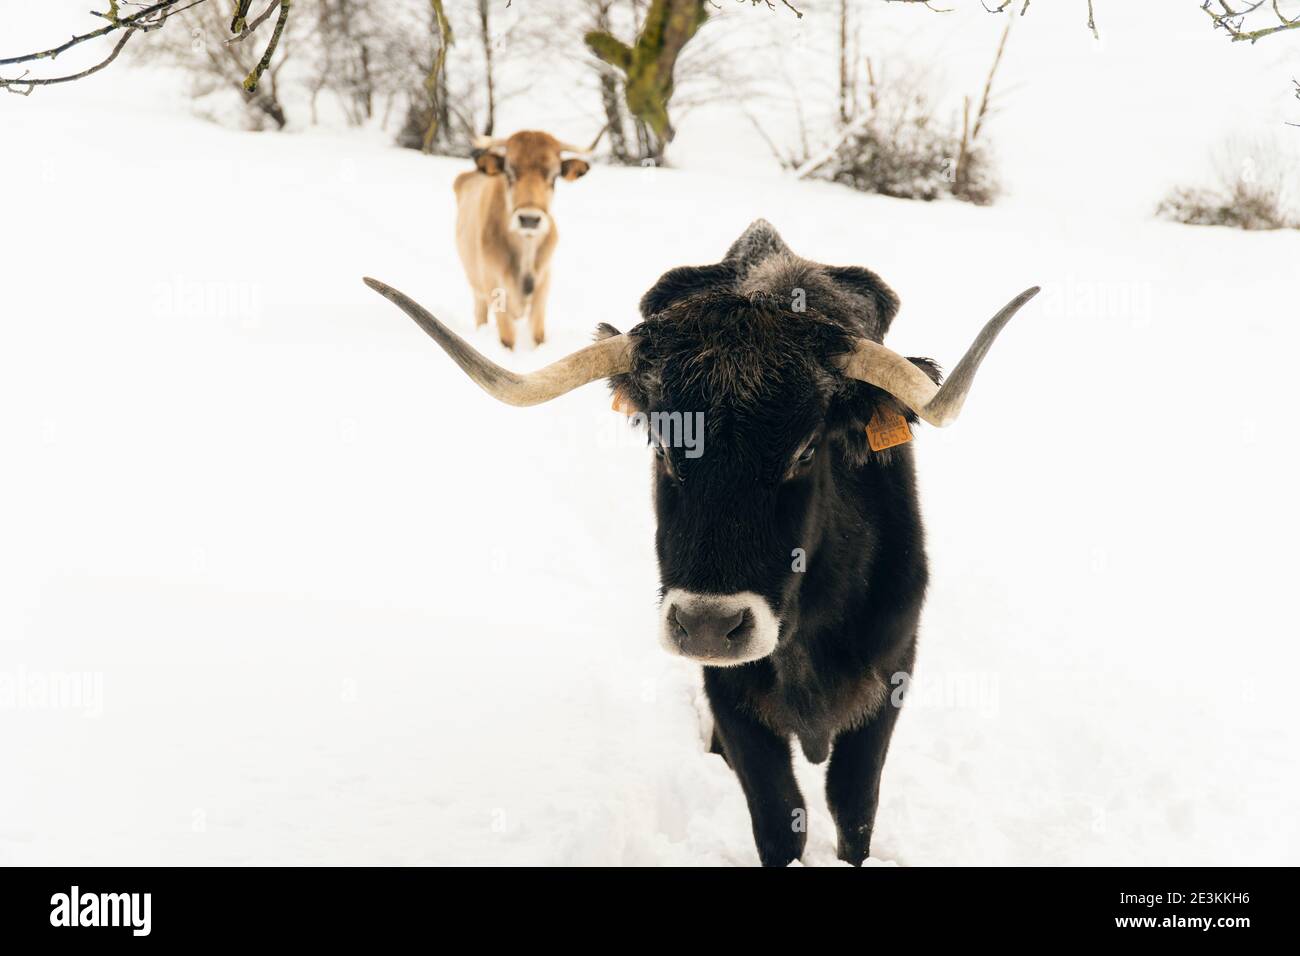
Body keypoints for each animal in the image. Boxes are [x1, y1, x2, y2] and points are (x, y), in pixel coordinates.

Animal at [364, 222, 1034, 868]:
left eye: (805, 451)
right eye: (663, 446)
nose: (710, 625)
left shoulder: (890, 675)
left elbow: (853, 805)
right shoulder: (732, 696)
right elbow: (778, 816)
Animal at [454, 128, 592, 348]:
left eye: (554, 176)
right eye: (509, 173)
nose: (529, 219)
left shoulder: (543, 286)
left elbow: (538, 335)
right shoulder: (494, 287)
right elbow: (507, 338)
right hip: (476, 286)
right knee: (480, 314)